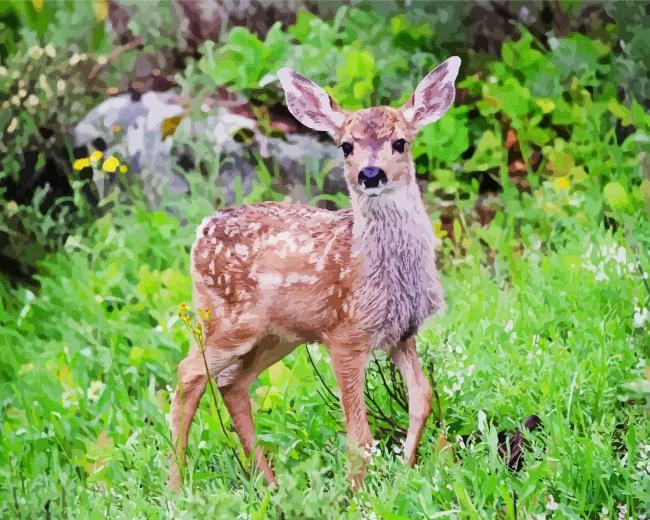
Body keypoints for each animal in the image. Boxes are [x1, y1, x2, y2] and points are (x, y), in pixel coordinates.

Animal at [168, 56, 461, 492]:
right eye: (346, 145)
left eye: (400, 142)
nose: (370, 175)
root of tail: (201, 231)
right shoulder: (346, 336)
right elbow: (360, 436)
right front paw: (358, 495)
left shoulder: (401, 333)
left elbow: (421, 400)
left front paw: (405, 470)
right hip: (228, 319)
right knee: (189, 375)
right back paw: (175, 487)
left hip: (278, 336)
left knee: (231, 383)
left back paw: (269, 483)